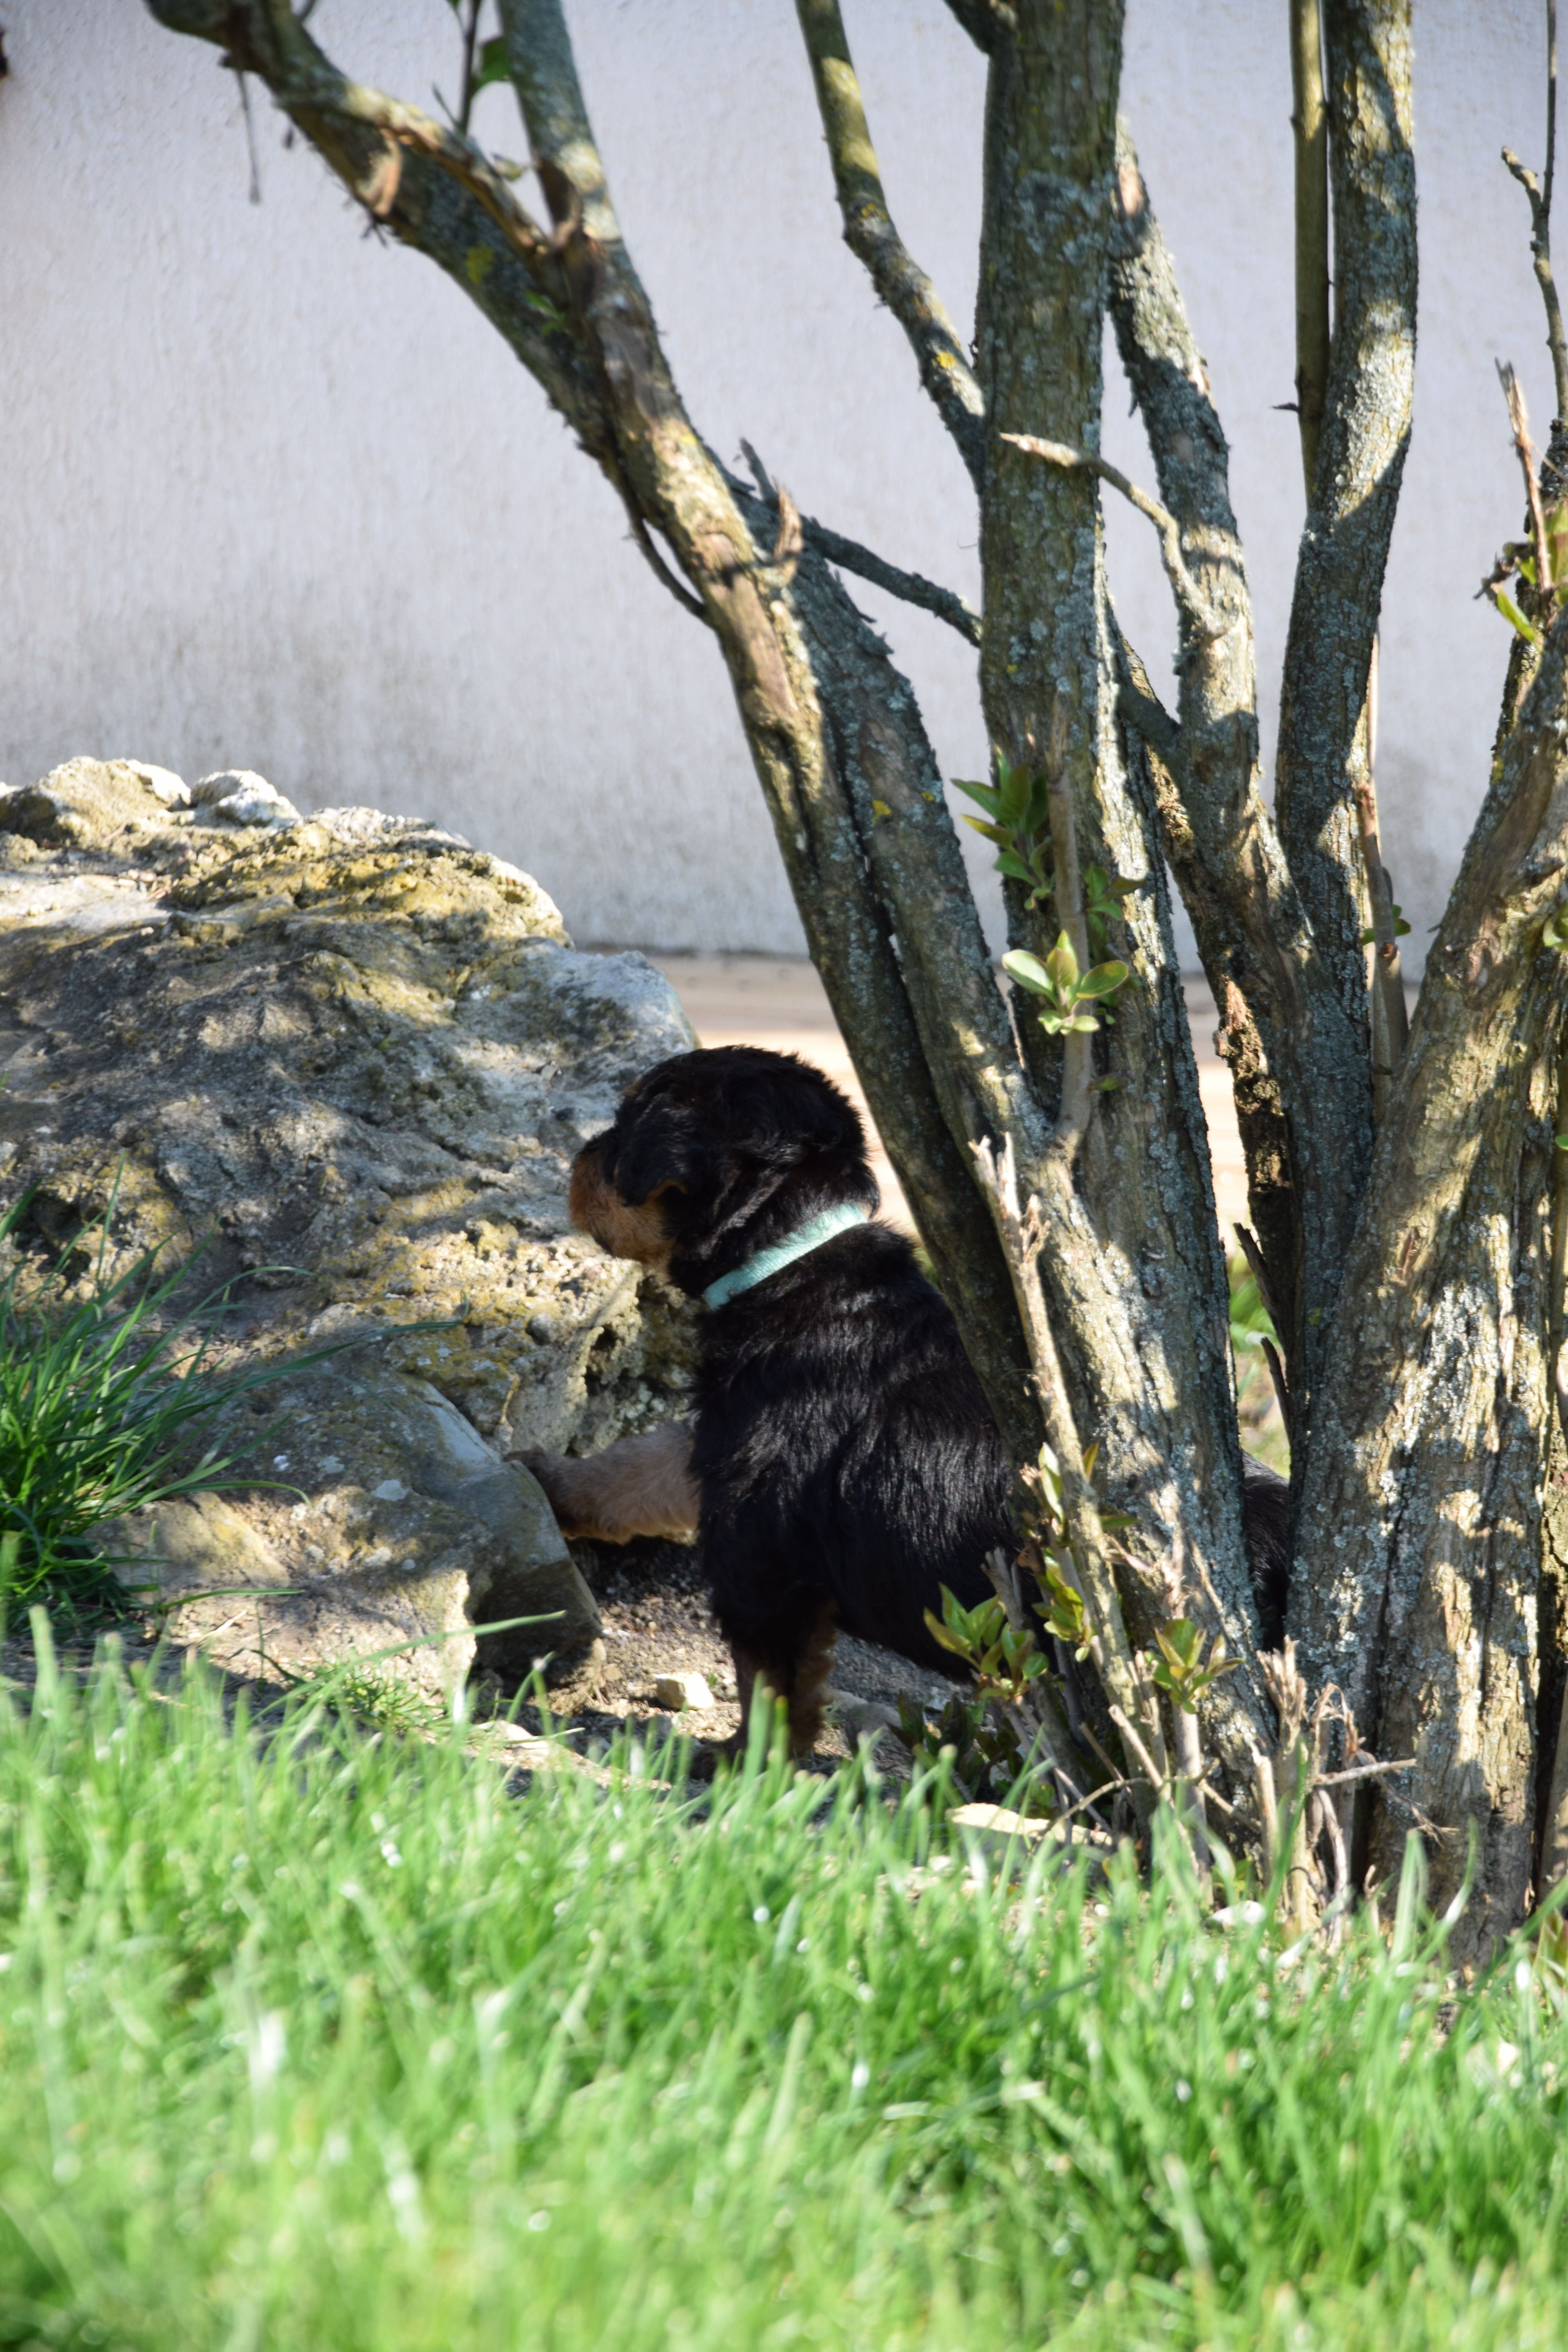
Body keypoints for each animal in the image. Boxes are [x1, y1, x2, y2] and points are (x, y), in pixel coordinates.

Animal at [526, 1044, 1288, 1753]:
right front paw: (545, 1476)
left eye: (626, 1128)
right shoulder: (724, 1438)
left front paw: (742, 1767)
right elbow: (639, 1467)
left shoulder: (759, 1542)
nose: (576, 1159)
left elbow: (766, 1679)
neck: (791, 1260)